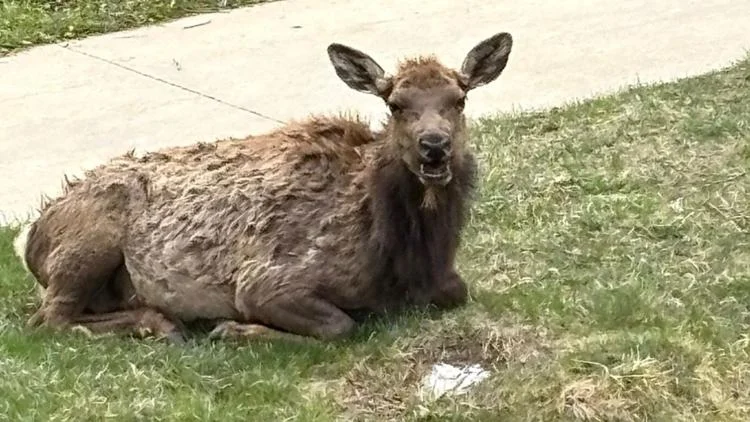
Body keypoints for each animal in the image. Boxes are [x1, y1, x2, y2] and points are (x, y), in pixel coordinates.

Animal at [13, 32, 513, 343]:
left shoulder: (446, 282)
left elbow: (458, 291)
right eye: (395, 104)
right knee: (48, 319)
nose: (435, 147)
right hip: (87, 246)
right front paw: (235, 330)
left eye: (460, 99)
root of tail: (29, 239)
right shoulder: (264, 282)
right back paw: (162, 325)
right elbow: (340, 325)